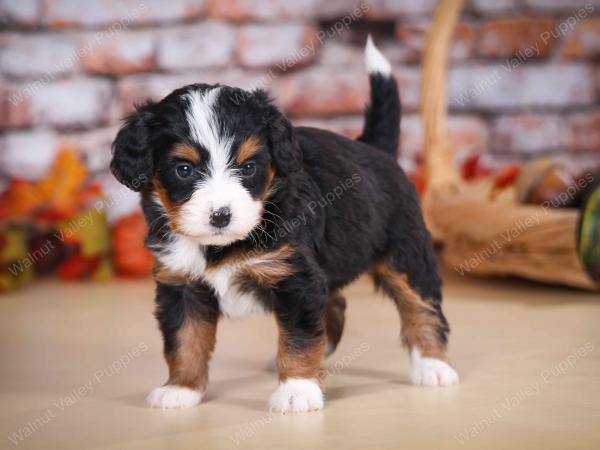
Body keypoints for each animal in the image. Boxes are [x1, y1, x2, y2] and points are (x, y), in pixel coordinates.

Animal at [110, 38, 460, 414]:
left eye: (249, 167)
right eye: (184, 170)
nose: (221, 215)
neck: (220, 245)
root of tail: (373, 148)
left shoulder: (296, 279)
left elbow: (298, 339)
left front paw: (297, 390)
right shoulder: (181, 284)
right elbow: (184, 340)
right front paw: (180, 389)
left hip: (406, 253)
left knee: (421, 305)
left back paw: (434, 366)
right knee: (336, 303)